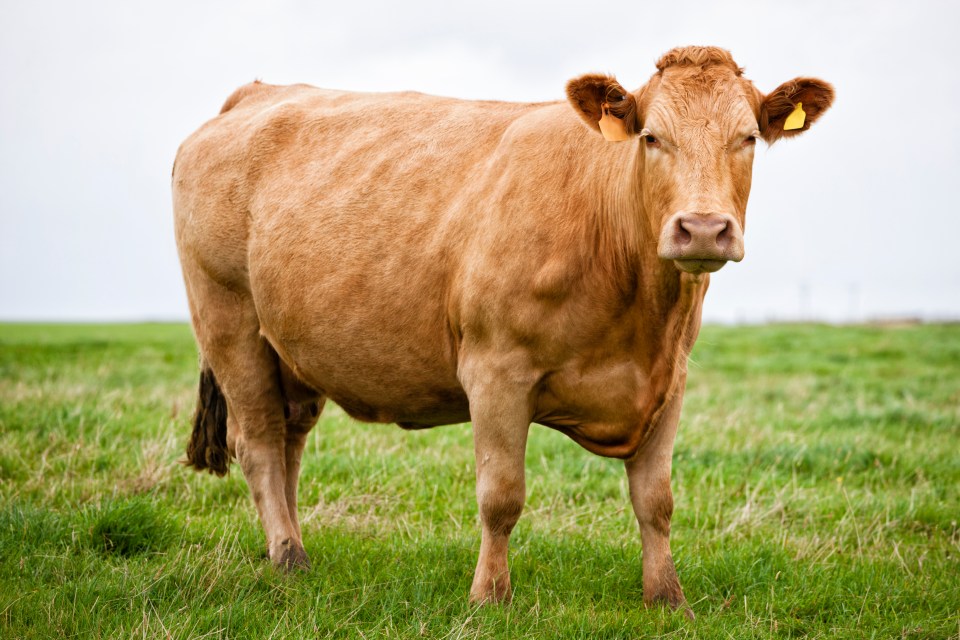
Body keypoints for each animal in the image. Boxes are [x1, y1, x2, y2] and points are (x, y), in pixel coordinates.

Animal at [172, 45, 832, 616]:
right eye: (651, 137)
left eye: (747, 138)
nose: (702, 229)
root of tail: (257, 93)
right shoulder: (495, 371)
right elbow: (502, 496)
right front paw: (489, 597)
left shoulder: (669, 380)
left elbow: (657, 501)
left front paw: (668, 599)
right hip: (229, 320)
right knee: (259, 441)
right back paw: (288, 556)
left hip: (291, 350)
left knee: (290, 441)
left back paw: (289, 551)